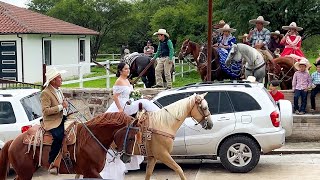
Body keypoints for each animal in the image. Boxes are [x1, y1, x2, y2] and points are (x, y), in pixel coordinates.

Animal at [0, 112, 140, 179]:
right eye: (131, 137)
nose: (127, 158)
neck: (92, 139)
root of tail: (13, 141)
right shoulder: (91, 172)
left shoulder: (86, 173)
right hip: (25, 173)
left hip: (26, 171)